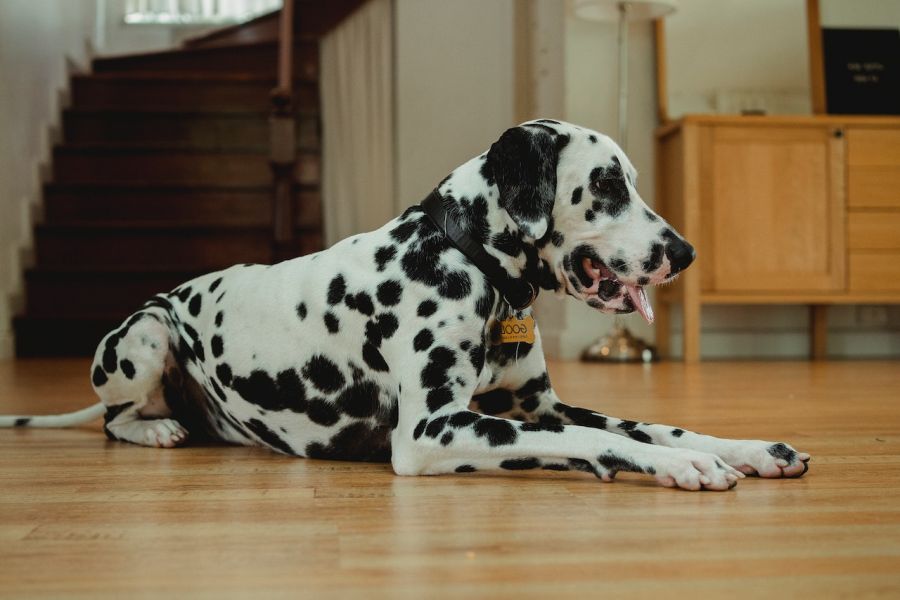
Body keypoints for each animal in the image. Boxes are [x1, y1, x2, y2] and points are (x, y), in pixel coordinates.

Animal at [1, 119, 808, 490]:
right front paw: (680, 466)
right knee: (115, 418)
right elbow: (599, 440)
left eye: (632, 180)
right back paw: (157, 426)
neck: (470, 263)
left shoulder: (539, 409)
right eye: (608, 184)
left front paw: (744, 447)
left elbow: (654, 422)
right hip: (144, 335)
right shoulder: (432, 433)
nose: (686, 252)